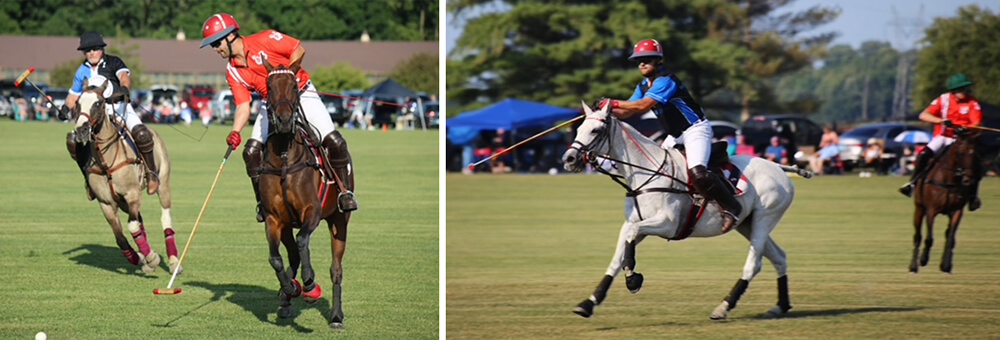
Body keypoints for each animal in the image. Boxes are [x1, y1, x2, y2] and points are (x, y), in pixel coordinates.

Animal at [72, 77, 180, 274]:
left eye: (98, 103)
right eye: (77, 103)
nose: (81, 131)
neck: (106, 161)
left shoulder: (132, 194)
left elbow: (132, 225)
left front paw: (151, 258)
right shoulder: (106, 202)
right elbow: (120, 236)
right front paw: (140, 258)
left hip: (162, 182)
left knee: (165, 216)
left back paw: (174, 262)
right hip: (122, 202)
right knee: (139, 221)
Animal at [258, 59, 352, 330]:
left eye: (293, 85)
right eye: (269, 86)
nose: (284, 120)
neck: (284, 158)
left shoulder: (312, 211)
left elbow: (303, 242)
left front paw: (309, 283)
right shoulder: (274, 219)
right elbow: (276, 258)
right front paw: (289, 288)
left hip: (339, 221)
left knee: (335, 268)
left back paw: (336, 316)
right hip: (287, 225)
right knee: (291, 256)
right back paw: (286, 298)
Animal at [564, 102, 804, 320]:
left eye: (595, 130)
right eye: (579, 128)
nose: (569, 159)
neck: (646, 174)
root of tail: (778, 167)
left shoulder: (667, 224)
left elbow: (630, 245)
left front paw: (632, 279)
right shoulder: (632, 223)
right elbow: (617, 257)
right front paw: (588, 303)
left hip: (765, 217)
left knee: (754, 264)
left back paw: (723, 307)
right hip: (747, 223)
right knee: (779, 256)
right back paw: (781, 306)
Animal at [912, 130, 980, 274]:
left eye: (974, 155)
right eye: (960, 152)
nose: (968, 180)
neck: (949, 179)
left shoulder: (957, 211)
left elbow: (950, 238)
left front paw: (946, 265)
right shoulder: (931, 210)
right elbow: (929, 238)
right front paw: (923, 259)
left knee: (947, 234)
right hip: (919, 209)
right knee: (918, 236)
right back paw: (913, 266)